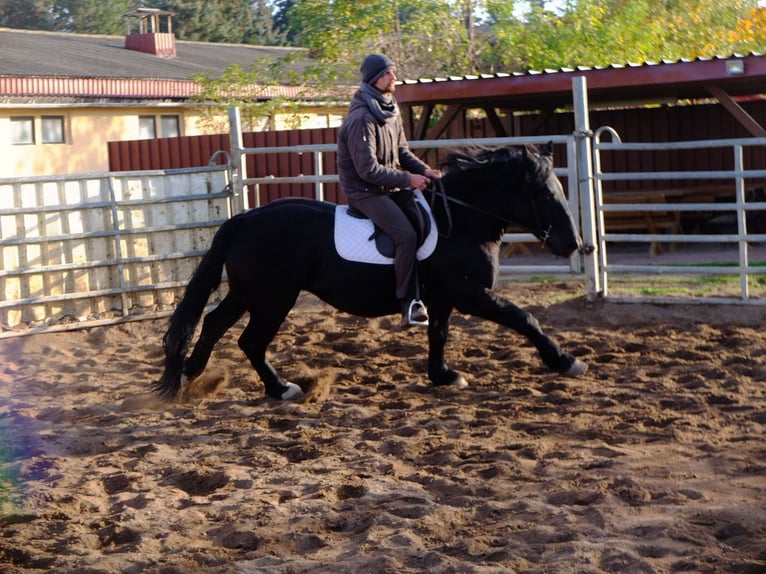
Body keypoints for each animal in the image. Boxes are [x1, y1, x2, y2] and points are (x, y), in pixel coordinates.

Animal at [154, 143, 588, 404]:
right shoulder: (472, 295)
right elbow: (525, 318)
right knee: (250, 341)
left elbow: (439, 335)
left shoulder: (443, 299)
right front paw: (565, 361)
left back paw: (189, 377)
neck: (461, 220)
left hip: (249, 293)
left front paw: (443, 376)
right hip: (273, 298)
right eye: (544, 192)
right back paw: (281, 388)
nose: (574, 244)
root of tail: (245, 218)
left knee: (213, 324)